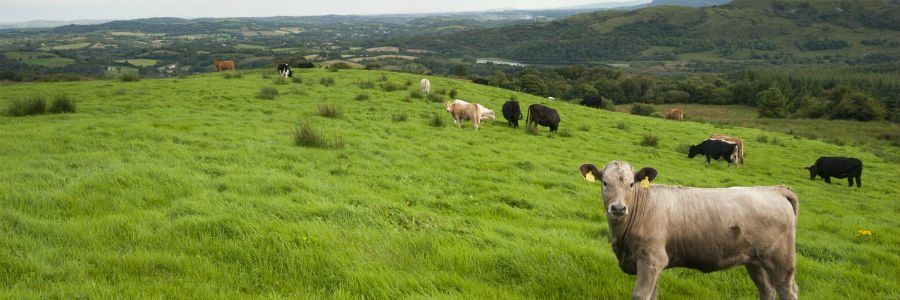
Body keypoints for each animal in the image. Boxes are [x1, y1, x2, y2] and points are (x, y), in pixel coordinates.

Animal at [580, 162, 800, 300]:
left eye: (631, 184)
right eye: (604, 183)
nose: (618, 208)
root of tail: (774, 189)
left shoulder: (651, 259)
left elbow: (641, 295)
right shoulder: (653, 263)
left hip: (781, 260)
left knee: (787, 290)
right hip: (754, 261)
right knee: (767, 290)